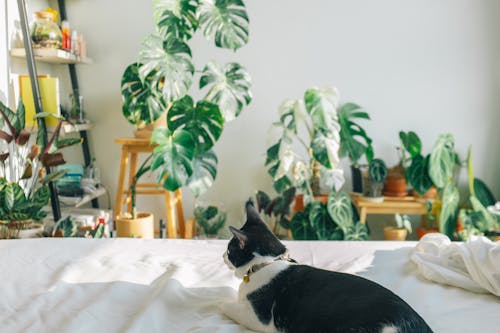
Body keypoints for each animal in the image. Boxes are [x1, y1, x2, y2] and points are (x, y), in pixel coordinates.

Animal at [221, 201, 432, 330]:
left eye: (229, 250)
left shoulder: (258, 319)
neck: (267, 262)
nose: (223, 256)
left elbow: (227, 305)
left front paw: (221, 299)